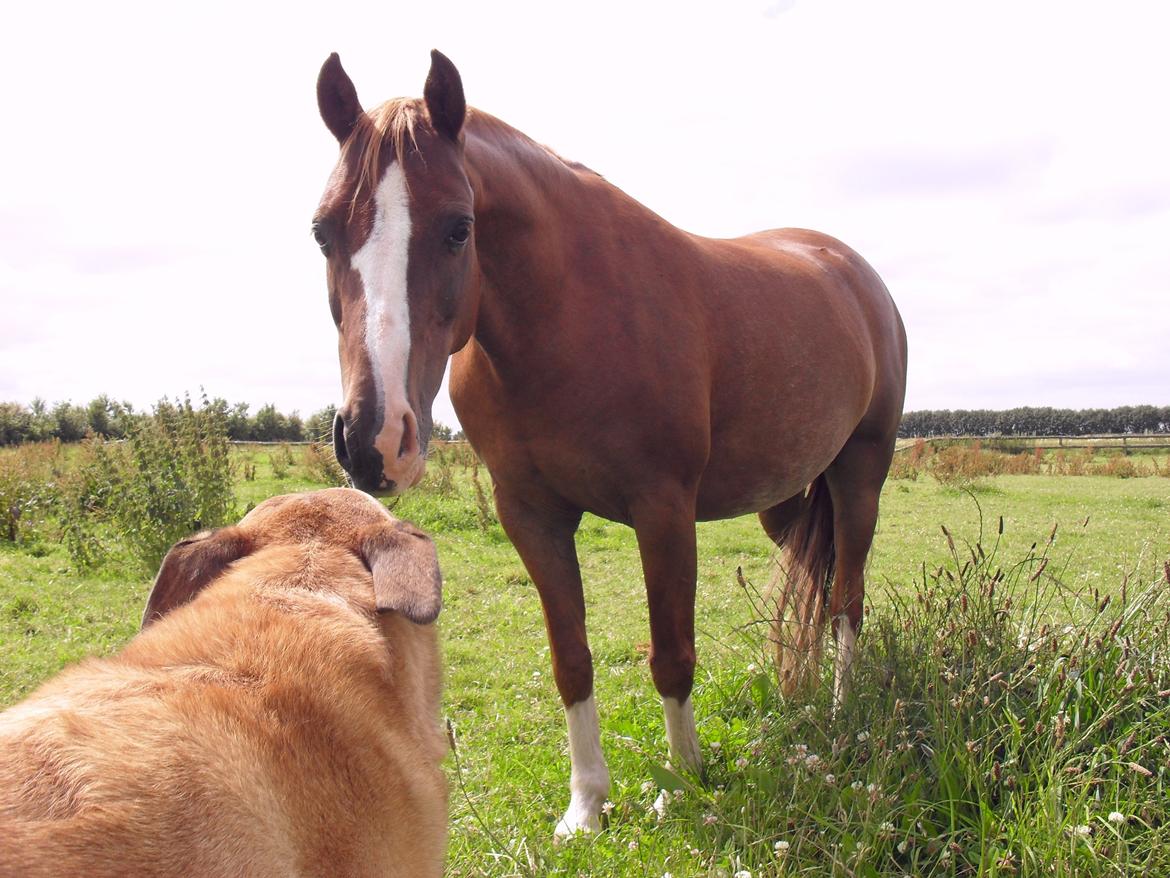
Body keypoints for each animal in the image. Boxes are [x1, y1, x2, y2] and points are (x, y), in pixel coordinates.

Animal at [315, 49, 907, 838]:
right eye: (323, 231)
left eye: (459, 228)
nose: (374, 440)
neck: (569, 319)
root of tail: (851, 270)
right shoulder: (530, 515)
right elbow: (571, 659)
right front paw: (587, 806)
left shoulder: (663, 511)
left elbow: (672, 655)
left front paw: (681, 784)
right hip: (783, 502)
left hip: (860, 474)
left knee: (846, 600)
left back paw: (842, 718)